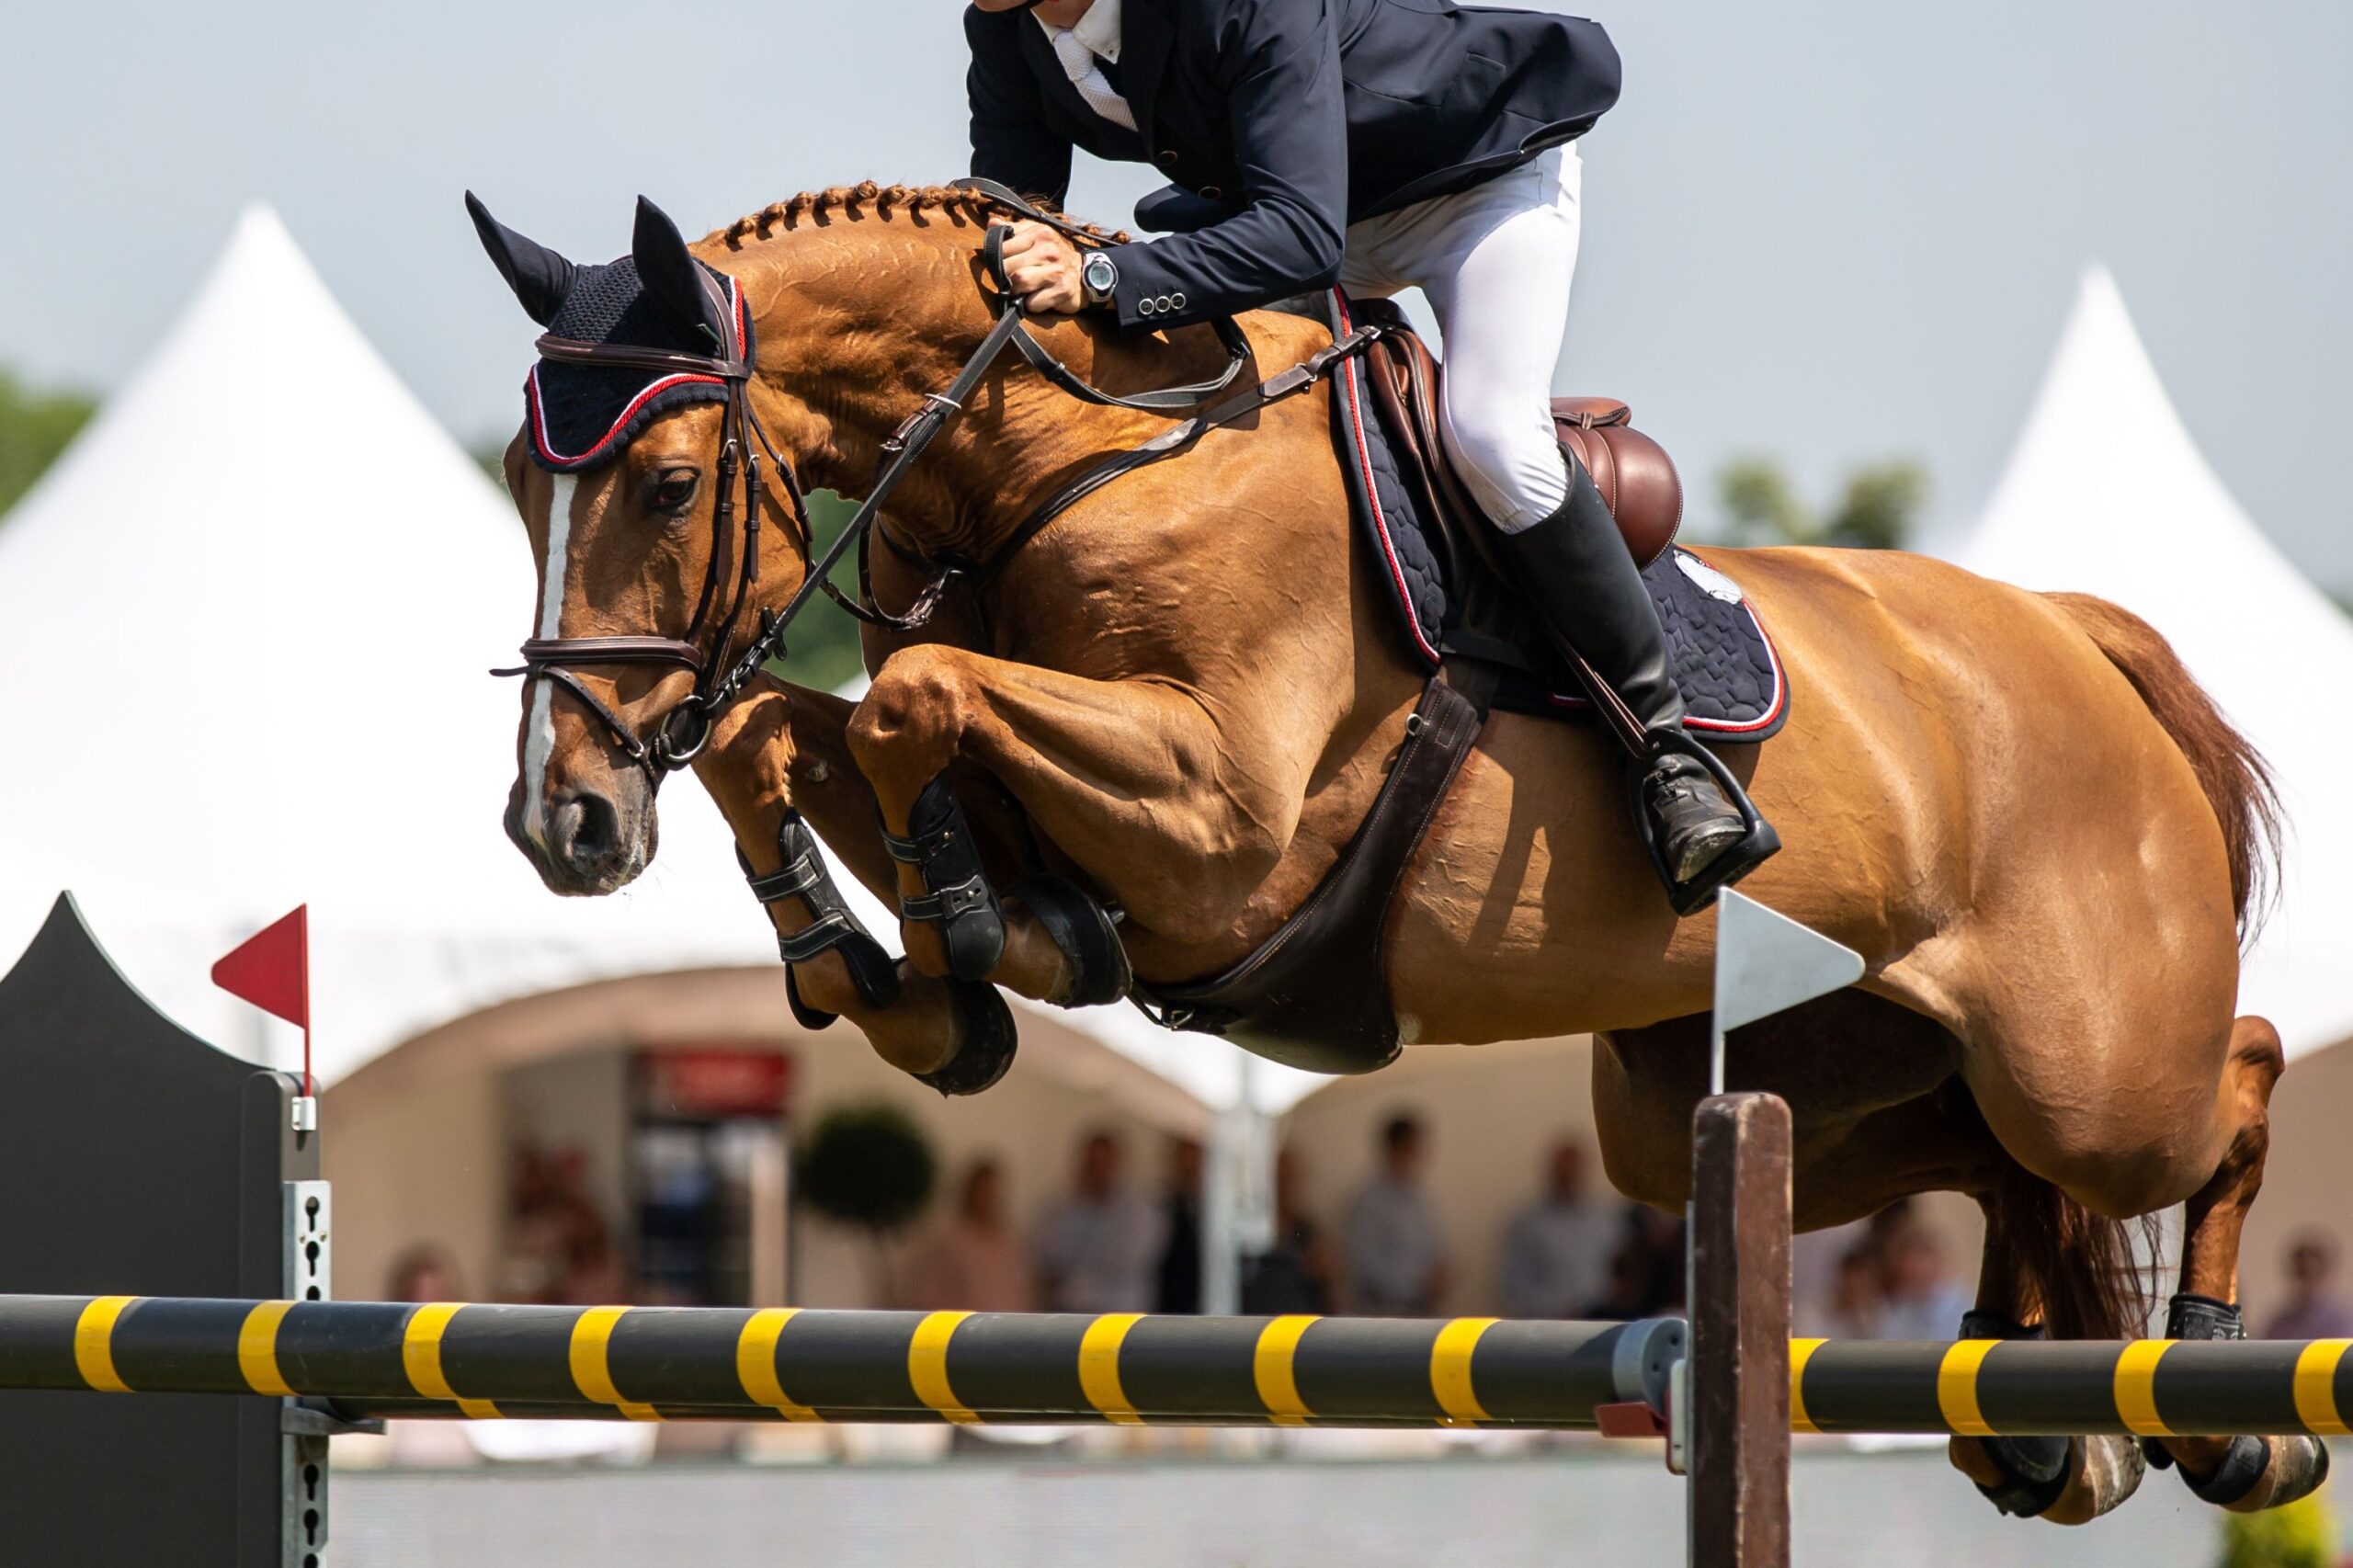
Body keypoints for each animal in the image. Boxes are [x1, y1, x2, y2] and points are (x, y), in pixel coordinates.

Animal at [477, 183, 2315, 1516]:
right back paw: (2043, 1414)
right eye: (516, 481)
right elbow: (789, 733)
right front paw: (903, 973)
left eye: (666, 482)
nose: (562, 823)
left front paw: (975, 939)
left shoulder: (1221, 820)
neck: (1068, 455)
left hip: (2086, 1064)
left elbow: (912, 702)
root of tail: (2070, 633)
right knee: (1977, 1159)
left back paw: (2226, 1405)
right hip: (1743, 1081)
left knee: (2228, 1072)